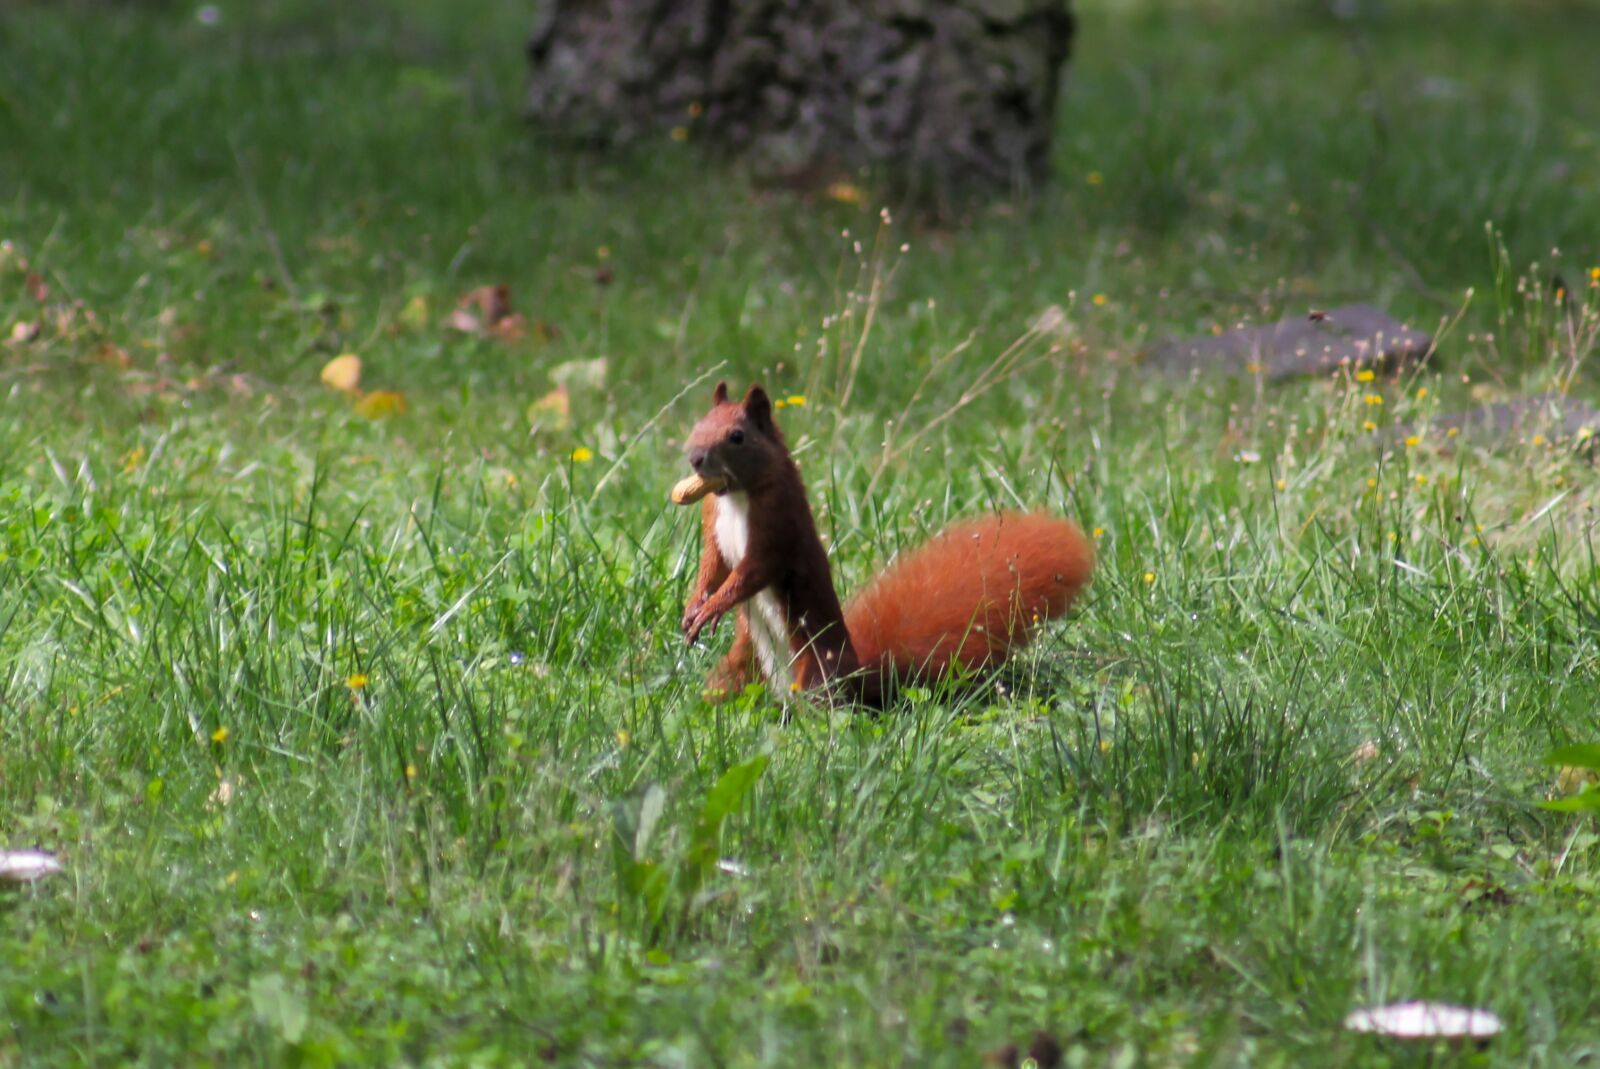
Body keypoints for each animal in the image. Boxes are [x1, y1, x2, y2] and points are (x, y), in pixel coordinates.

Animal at [668, 379, 1094, 704]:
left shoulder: (778, 526)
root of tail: (858, 677)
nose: (695, 458)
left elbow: (752, 571)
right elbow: (713, 565)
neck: (736, 496)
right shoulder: (714, 522)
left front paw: (714, 606)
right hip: (741, 663)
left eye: (737, 437)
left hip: (815, 669)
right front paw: (695, 606)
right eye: (699, 424)